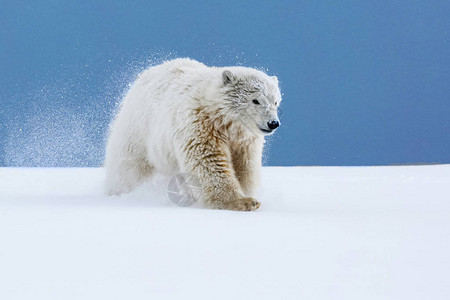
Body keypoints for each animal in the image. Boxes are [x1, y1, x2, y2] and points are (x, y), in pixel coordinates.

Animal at [105, 58, 282, 211]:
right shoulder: (199, 124)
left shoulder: (245, 140)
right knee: (130, 169)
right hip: (138, 132)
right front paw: (242, 202)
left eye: (276, 102)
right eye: (256, 100)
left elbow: (245, 166)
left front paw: (247, 193)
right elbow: (208, 162)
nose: (273, 123)